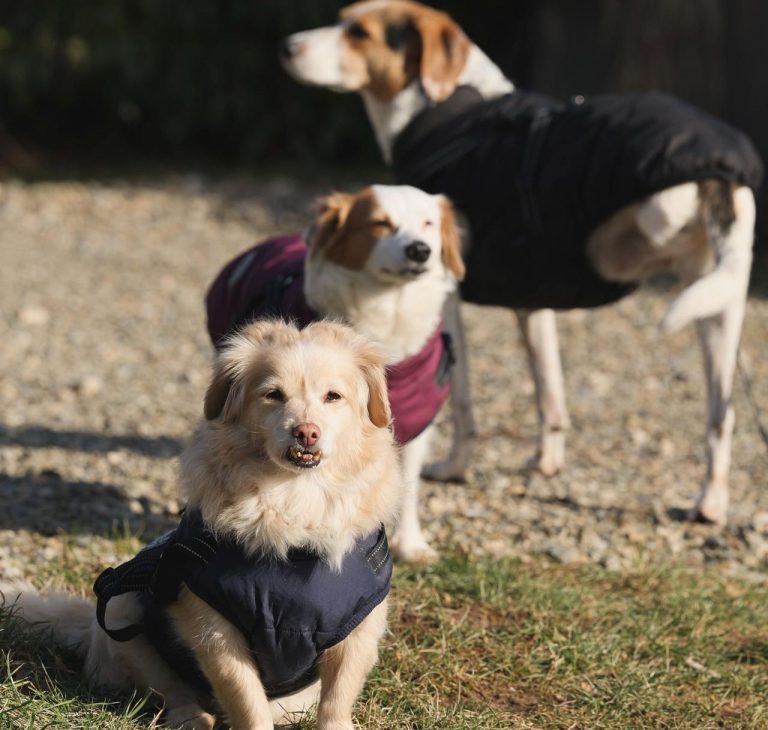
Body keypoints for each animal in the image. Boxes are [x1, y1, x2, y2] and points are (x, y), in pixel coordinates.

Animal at [4, 322, 402, 728]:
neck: (295, 499)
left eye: (333, 396)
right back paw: (193, 716)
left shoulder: (358, 632)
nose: (306, 432)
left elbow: (336, 701)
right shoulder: (215, 632)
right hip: (122, 611)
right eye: (273, 395)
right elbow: (247, 701)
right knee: (172, 691)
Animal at [206, 185, 462, 560]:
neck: (387, 316)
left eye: (428, 223)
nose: (419, 250)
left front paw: (411, 544)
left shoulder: (417, 422)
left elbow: (407, 481)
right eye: (380, 223)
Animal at [282, 0, 760, 524]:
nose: (287, 47)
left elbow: (464, 402)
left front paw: (456, 465)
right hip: (721, 315)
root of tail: (721, 167)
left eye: (359, 33)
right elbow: (549, 392)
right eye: (342, 19)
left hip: (666, 231)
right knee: (723, 414)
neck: (448, 113)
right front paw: (546, 462)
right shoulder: (534, 305)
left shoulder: (447, 304)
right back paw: (710, 502)